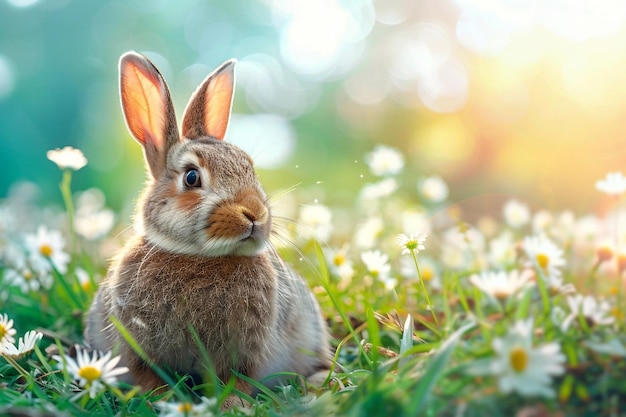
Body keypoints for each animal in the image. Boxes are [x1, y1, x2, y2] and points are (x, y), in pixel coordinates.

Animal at [88, 50, 334, 402]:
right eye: (192, 177)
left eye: (249, 168)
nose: (255, 214)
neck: (197, 256)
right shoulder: (136, 347)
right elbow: (148, 375)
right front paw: (162, 398)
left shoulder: (245, 351)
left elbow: (236, 377)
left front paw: (231, 403)